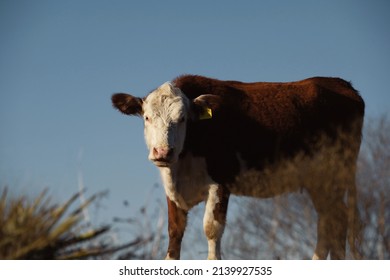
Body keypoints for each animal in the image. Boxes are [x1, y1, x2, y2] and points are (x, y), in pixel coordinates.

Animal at [110, 74, 366, 260]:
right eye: (147, 117)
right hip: (318, 182)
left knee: (336, 220)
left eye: (182, 119)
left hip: (335, 173)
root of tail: (342, 84)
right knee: (331, 220)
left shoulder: (221, 181)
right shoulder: (173, 189)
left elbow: (211, 229)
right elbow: (175, 232)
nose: (163, 152)